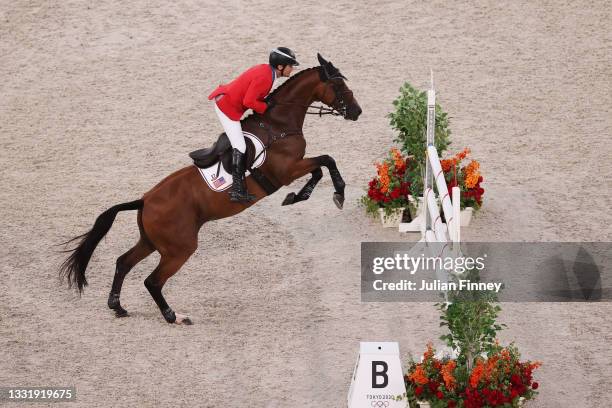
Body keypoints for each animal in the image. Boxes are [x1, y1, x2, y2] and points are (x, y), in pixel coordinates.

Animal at [59, 52, 360, 326]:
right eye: (339, 85)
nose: (357, 112)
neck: (279, 124)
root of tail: (144, 200)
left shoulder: (293, 168)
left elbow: (320, 167)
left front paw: (298, 196)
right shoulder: (286, 171)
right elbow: (326, 161)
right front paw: (336, 194)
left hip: (152, 242)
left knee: (123, 262)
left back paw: (118, 307)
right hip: (179, 248)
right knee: (152, 281)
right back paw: (174, 316)